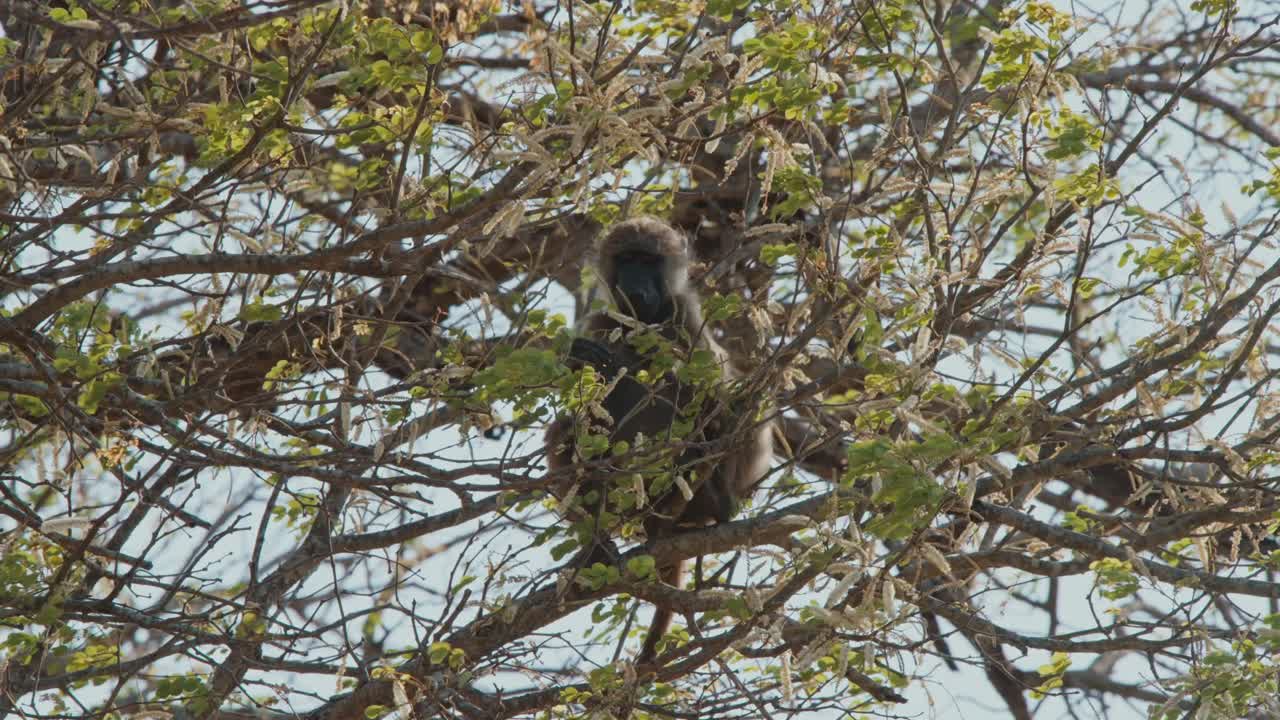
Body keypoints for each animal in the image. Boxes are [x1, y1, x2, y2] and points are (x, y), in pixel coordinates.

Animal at [544, 217, 774, 665]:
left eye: (649, 261)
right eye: (627, 260)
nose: (636, 287)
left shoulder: (688, 320)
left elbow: (715, 395)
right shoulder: (603, 322)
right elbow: (587, 404)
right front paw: (584, 361)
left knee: (734, 410)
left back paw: (716, 498)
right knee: (564, 431)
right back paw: (598, 546)